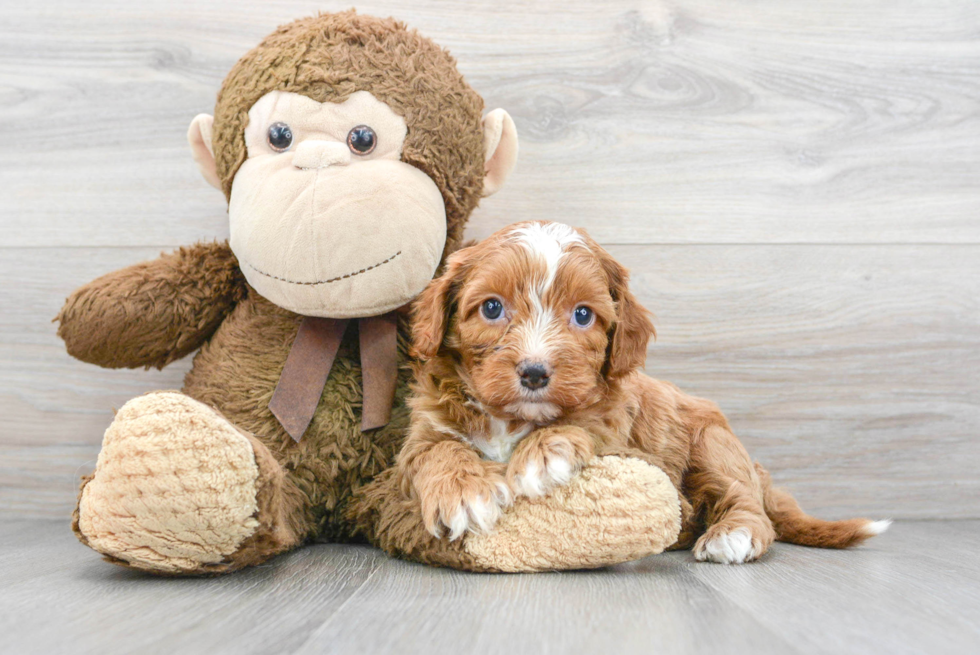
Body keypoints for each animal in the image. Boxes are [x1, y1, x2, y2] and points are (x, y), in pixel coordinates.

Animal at [396, 222, 888, 564]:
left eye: (583, 315)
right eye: (492, 308)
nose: (535, 374)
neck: (514, 418)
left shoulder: (619, 427)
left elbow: (584, 420)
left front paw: (542, 455)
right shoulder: (423, 430)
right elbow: (437, 450)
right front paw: (464, 493)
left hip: (714, 444)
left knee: (748, 503)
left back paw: (733, 534)